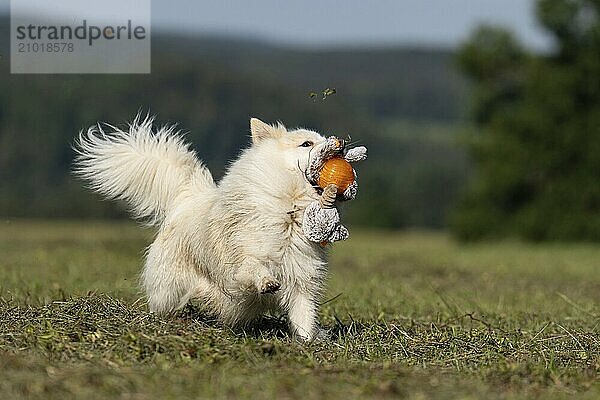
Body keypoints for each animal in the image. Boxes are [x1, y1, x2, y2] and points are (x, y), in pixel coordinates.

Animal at [74, 116, 366, 340]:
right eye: (307, 144)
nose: (340, 144)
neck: (291, 210)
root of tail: (186, 201)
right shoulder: (243, 258)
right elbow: (253, 266)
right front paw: (267, 282)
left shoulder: (302, 281)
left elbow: (304, 315)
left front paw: (308, 342)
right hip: (169, 289)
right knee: (165, 304)